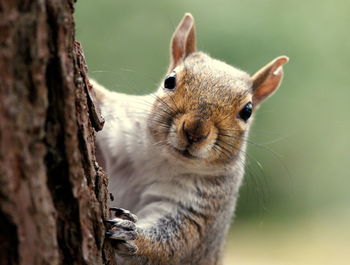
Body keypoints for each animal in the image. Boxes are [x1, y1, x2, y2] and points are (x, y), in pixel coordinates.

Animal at [91, 13, 288, 264]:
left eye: (247, 110)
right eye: (169, 81)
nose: (195, 130)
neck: (161, 157)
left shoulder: (200, 206)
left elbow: (174, 243)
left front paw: (132, 234)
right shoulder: (119, 130)